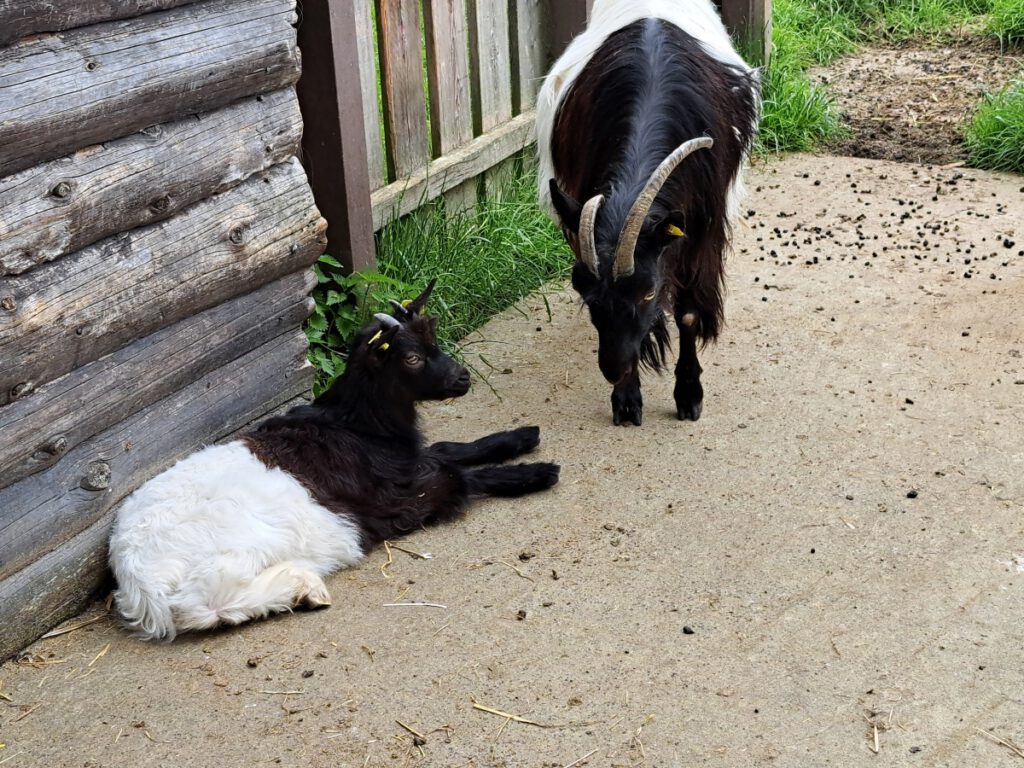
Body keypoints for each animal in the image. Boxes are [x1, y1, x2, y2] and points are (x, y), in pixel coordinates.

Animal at [109, 284, 561, 643]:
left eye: (433, 341)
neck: (357, 424)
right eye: (412, 358)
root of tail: (139, 584)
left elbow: (451, 448)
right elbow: (461, 478)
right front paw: (536, 473)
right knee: (203, 608)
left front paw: (523, 436)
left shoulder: (407, 460)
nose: (463, 378)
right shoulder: (399, 496)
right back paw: (303, 588)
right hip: (223, 563)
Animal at [536, 0, 761, 428]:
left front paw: (689, 394)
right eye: (584, 292)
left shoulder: (703, 231)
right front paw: (626, 399)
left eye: (649, 291)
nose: (612, 368)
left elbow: (688, 314)